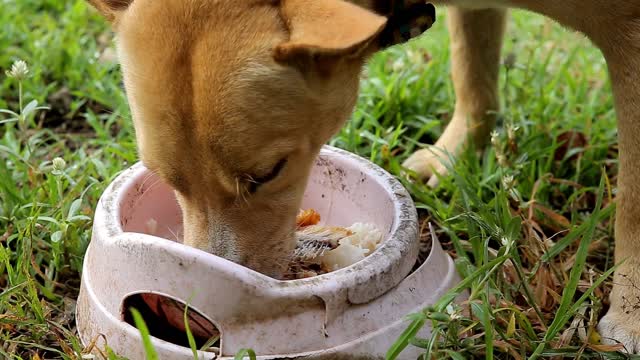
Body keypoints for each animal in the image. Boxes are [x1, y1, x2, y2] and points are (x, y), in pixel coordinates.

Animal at [89, 0, 640, 352]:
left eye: (269, 173)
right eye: (168, 180)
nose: (196, 316)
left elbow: (633, 207)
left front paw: (630, 314)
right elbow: (472, 66)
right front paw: (456, 152)